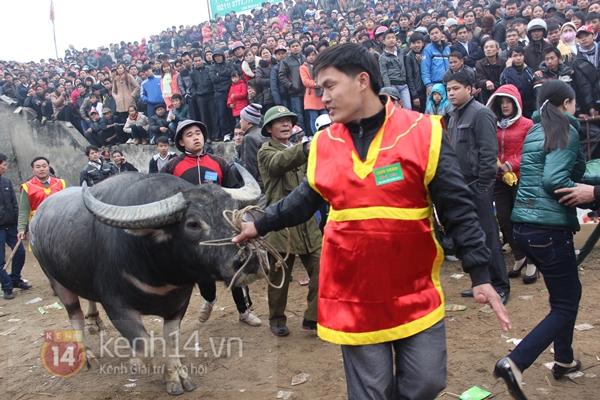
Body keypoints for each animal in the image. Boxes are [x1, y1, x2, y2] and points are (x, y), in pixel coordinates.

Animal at [29, 167, 262, 396]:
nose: (248, 261)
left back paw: (94, 320)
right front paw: (147, 367)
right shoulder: (116, 305)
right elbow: (147, 348)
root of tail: (35, 220)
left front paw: (176, 375)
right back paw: (88, 356)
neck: (157, 270)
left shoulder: (179, 302)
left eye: (234, 211)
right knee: (74, 317)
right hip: (56, 280)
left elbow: (171, 340)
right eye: (193, 224)